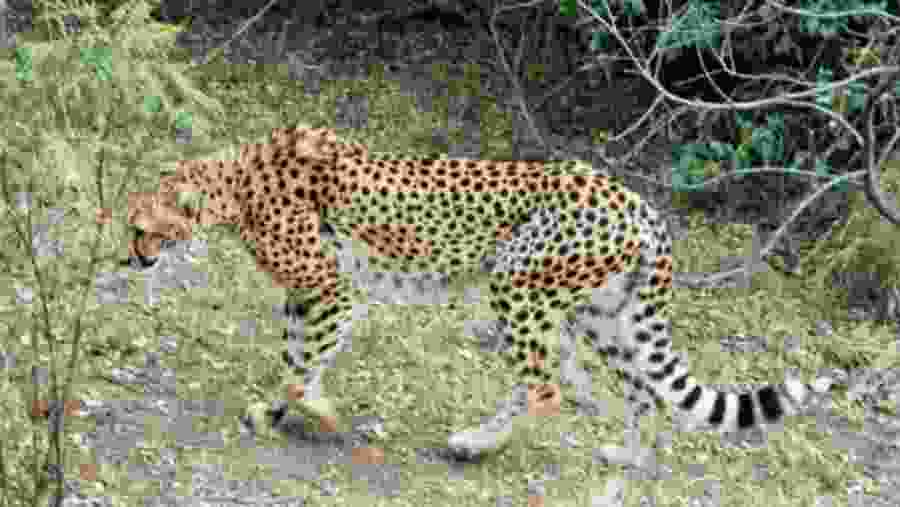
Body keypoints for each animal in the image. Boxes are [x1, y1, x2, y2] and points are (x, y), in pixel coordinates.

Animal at [125, 124, 819, 464]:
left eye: (139, 226)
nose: (132, 256)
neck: (234, 184)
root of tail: (634, 199)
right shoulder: (310, 294)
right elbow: (301, 354)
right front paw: (286, 410)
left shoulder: (334, 288)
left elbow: (301, 364)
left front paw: (307, 412)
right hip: (600, 313)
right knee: (641, 390)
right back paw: (625, 457)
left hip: (517, 280)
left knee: (544, 390)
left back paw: (475, 445)